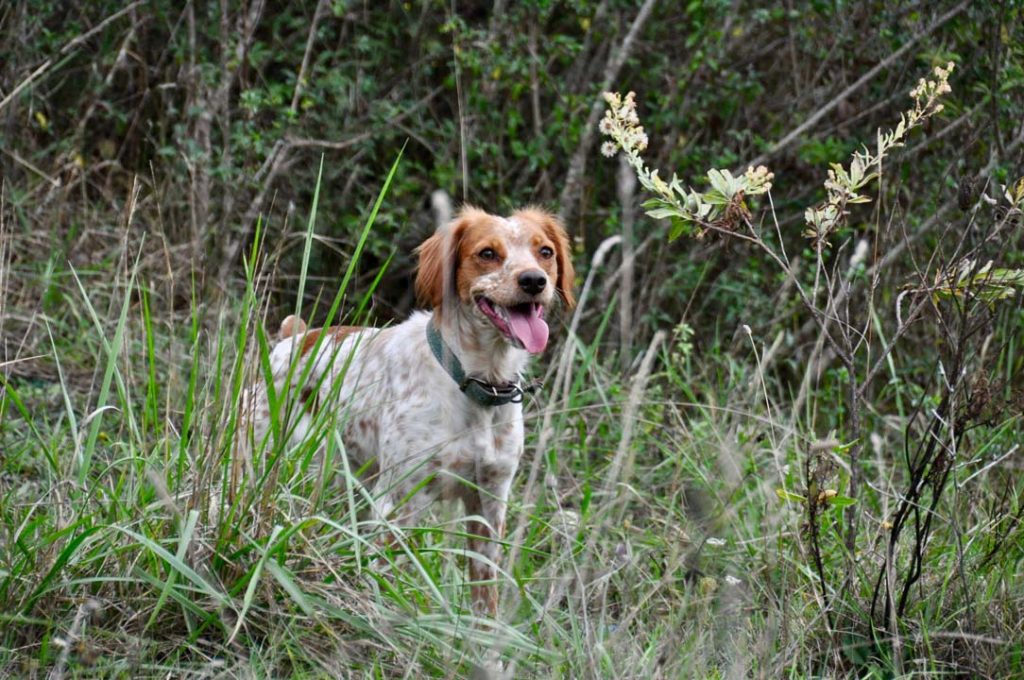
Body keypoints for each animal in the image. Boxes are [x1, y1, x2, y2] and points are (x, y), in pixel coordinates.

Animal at [238, 204, 577, 614]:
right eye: (487, 253)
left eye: (545, 252)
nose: (533, 281)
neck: (475, 382)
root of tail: (297, 338)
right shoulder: (399, 503)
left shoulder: (490, 503)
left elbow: (486, 600)